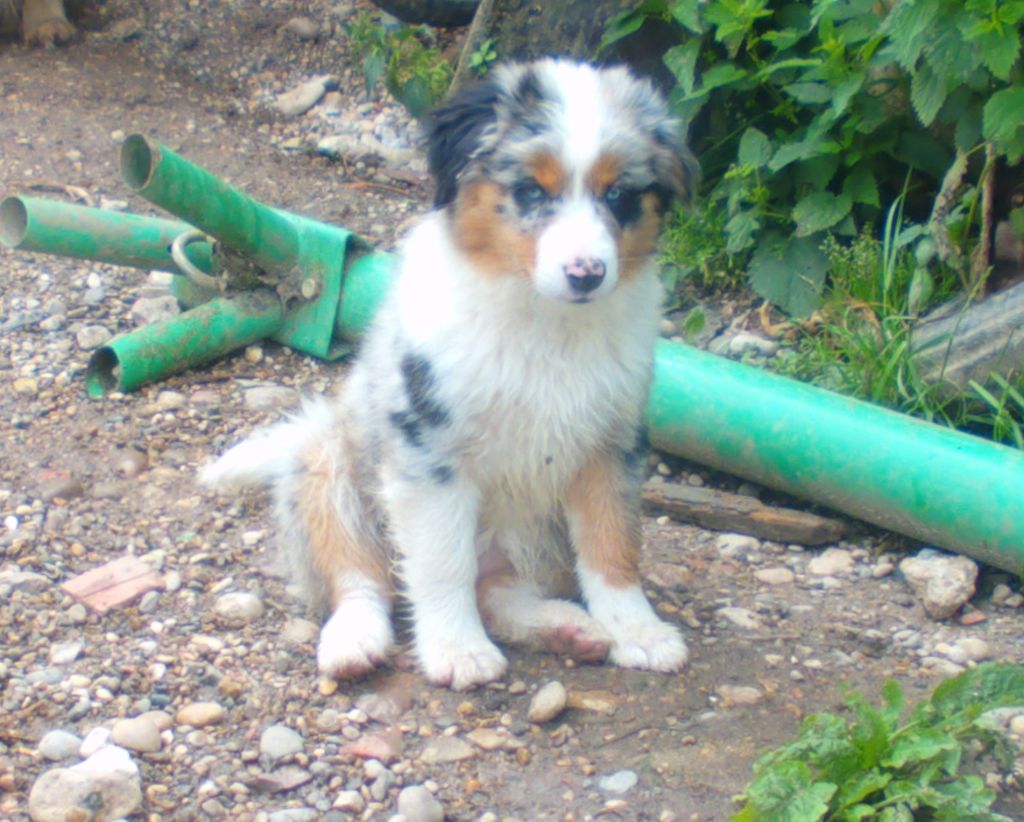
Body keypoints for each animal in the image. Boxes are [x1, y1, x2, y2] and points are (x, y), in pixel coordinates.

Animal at [205, 56, 704, 687]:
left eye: (618, 194)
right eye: (530, 190)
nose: (587, 274)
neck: (543, 322)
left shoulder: (612, 442)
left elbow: (612, 543)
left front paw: (639, 631)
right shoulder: (428, 448)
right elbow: (442, 562)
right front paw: (456, 651)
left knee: (498, 590)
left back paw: (569, 627)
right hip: (329, 469)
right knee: (361, 577)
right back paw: (354, 642)